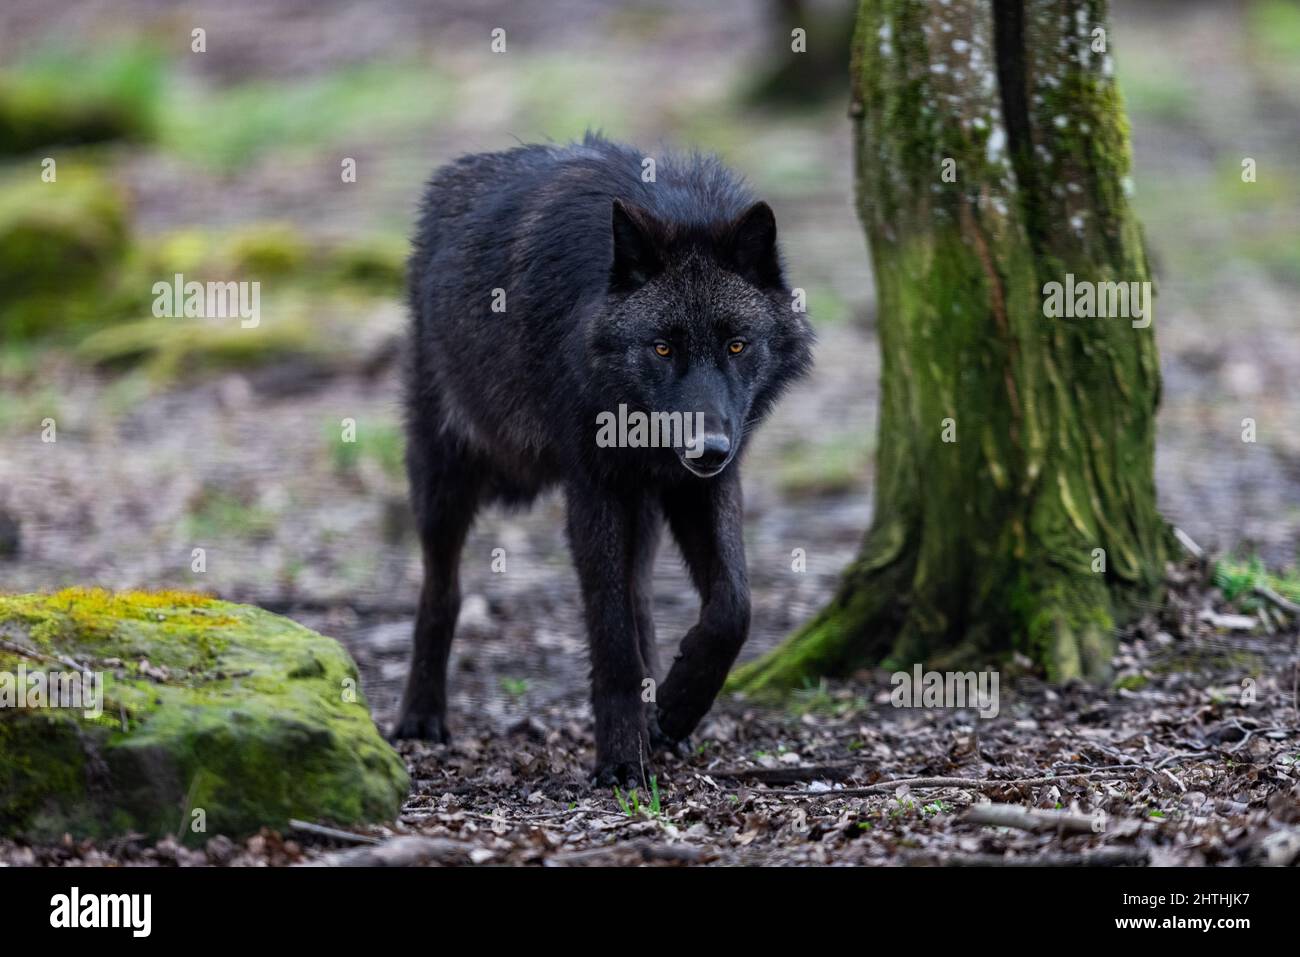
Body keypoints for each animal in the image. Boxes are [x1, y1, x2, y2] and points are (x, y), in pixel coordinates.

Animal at [394, 133, 814, 785]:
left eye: (736, 345)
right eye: (662, 347)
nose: (707, 447)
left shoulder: (704, 484)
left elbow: (733, 609)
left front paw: (676, 705)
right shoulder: (593, 488)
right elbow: (611, 638)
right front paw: (620, 756)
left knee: (641, 596)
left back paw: (659, 714)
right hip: (442, 475)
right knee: (442, 589)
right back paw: (419, 718)